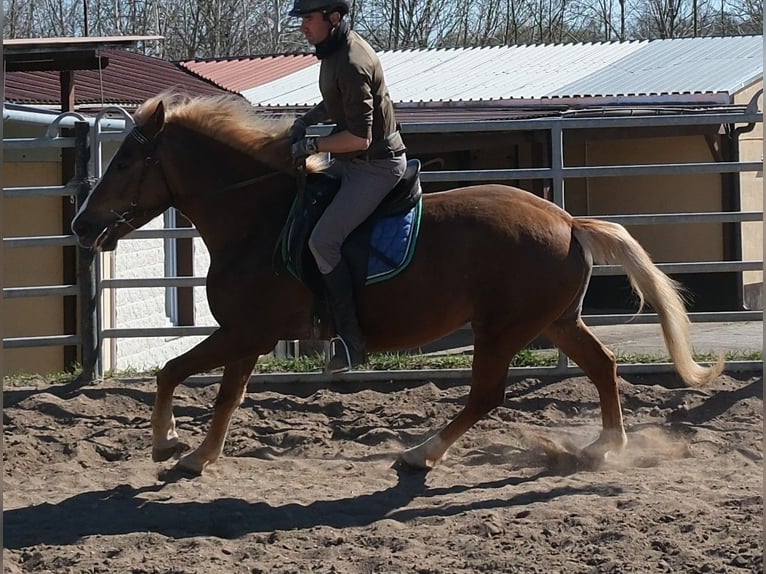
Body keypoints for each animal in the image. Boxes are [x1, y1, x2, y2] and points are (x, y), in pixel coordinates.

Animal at [71, 91, 724, 476]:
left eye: (125, 161)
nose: (81, 225)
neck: (256, 217)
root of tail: (567, 221)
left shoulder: (247, 331)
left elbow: (174, 372)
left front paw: (169, 445)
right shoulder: (247, 335)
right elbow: (224, 393)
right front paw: (197, 453)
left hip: (503, 329)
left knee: (486, 396)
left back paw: (420, 453)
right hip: (556, 323)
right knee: (602, 367)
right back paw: (604, 447)